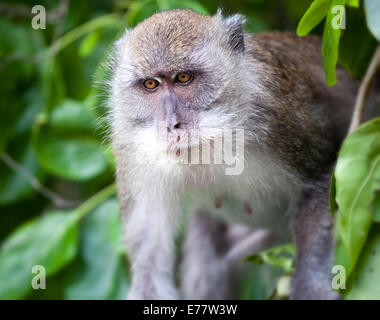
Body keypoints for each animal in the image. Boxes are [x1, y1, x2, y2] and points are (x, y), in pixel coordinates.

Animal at [107, 9, 360, 300]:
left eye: (183, 78)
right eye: (151, 84)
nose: (171, 125)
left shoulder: (281, 116)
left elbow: (320, 179)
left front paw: (308, 285)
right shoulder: (130, 149)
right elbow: (149, 269)